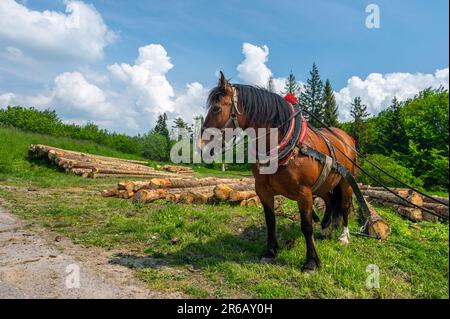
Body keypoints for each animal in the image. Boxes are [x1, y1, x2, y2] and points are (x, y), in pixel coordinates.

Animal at [199, 73, 356, 272]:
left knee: (344, 206)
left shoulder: (304, 192)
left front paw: (311, 261)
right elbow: (270, 221)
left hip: (346, 181)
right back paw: (326, 228)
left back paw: (344, 236)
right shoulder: (263, 190)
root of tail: (346, 138)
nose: (201, 147)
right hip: (324, 184)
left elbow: (306, 226)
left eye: (216, 108)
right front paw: (271, 252)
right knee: (330, 200)